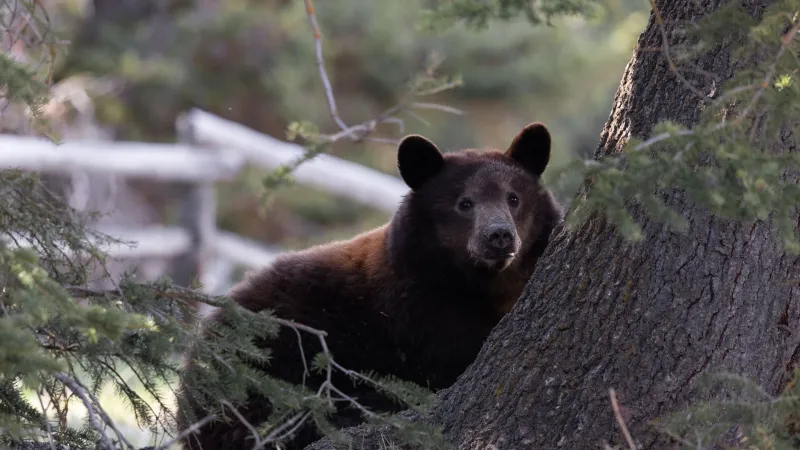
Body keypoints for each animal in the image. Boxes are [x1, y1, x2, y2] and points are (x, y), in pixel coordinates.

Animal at [175, 122, 562, 450]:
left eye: (514, 198)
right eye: (464, 203)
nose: (498, 235)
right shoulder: (423, 315)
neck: (482, 283)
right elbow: (451, 357)